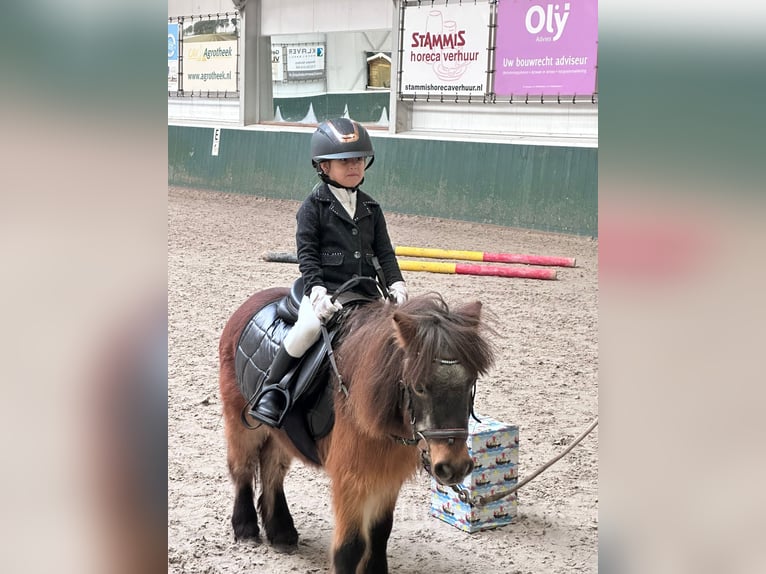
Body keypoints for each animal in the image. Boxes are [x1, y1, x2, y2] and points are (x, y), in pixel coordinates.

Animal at [219, 292, 496, 574]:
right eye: (419, 387)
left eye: (470, 383)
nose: (455, 467)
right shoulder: (351, 479)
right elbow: (349, 548)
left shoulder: (386, 476)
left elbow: (380, 532)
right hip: (239, 420)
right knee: (242, 468)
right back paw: (246, 528)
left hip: (281, 434)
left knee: (272, 470)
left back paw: (282, 532)